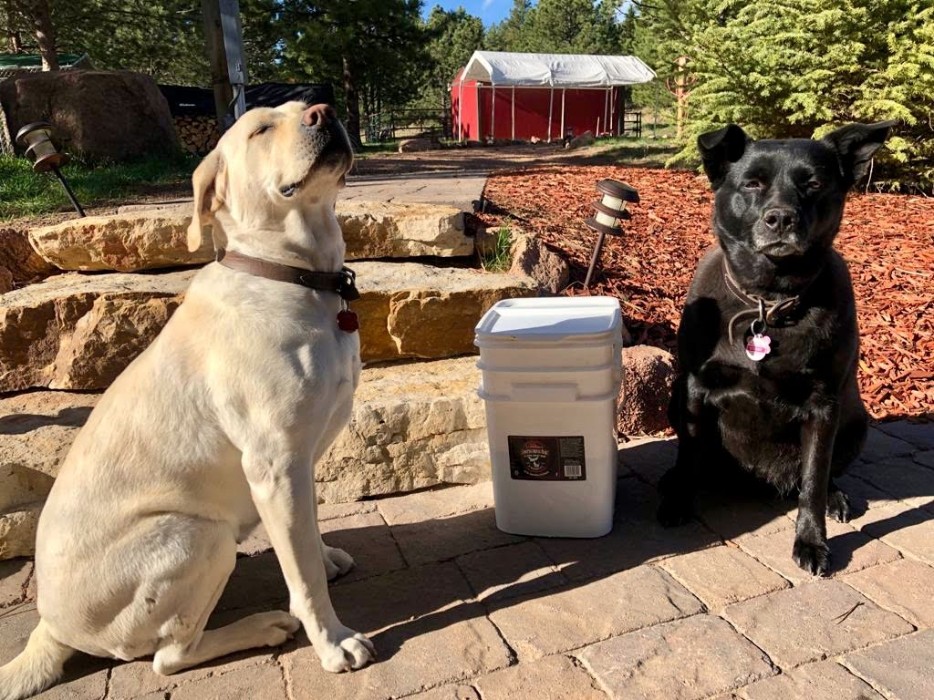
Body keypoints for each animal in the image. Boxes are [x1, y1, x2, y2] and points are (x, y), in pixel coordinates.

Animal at [660, 121, 896, 576]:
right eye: (752, 183)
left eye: (813, 183)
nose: (781, 217)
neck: (767, 303)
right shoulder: (695, 387)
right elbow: (688, 452)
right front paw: (678, 498)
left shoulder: (823, 405)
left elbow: (813, 482)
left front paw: (812, 542)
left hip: (856, 421)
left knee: (822, 477)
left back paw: (837, 498)